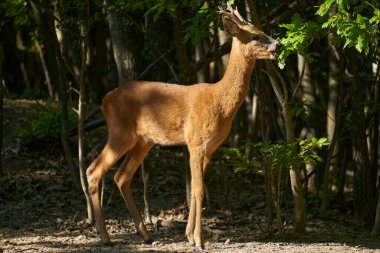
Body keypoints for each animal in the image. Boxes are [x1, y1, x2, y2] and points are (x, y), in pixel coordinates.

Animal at [87, 4, 280, 252]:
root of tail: (104, 100)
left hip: (144, 140)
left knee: (121, 176)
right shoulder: (196, 141)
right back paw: (105, 237)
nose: (278, 45)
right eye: (255, 36)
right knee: (94, 171)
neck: (219, 102)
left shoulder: (210, 148)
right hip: (120, 132)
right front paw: (199, 241)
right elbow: (198, 190)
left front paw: (189, 236)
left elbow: (195, 192)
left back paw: (146, 235)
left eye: (263, 30)